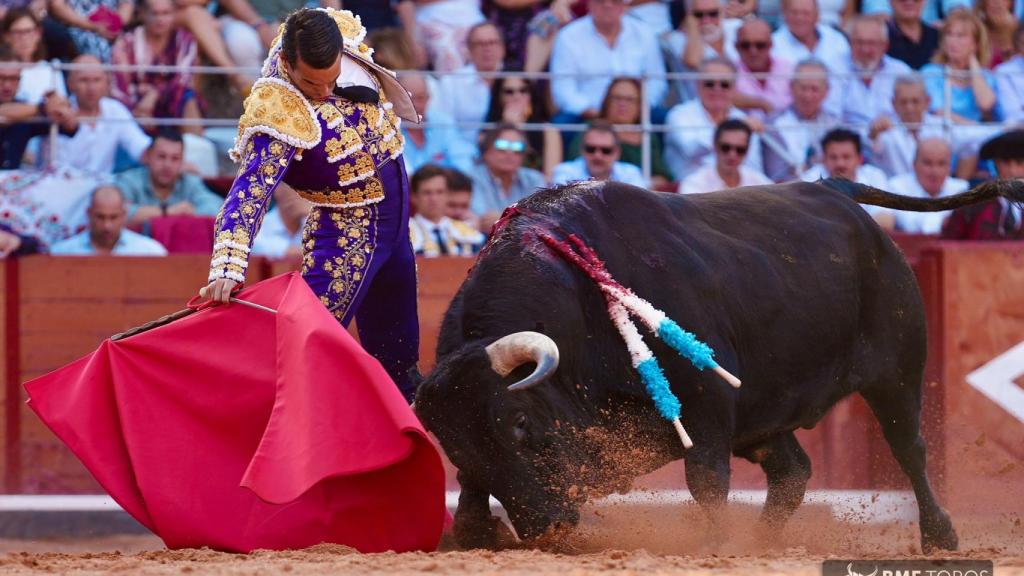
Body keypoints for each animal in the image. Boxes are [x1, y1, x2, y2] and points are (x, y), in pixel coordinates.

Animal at [413, 176, 1024, 553]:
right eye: (454, 445)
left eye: (519, 424)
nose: (545, 527)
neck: (580, 307)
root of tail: (835, 190)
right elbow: (471, 492)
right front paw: (475, 530)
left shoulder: (705, 406)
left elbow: (706, 479)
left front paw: (713, 545)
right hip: (767, 412)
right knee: (793, 472)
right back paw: (763, 543)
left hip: (896, 372)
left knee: (909, 448)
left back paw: (940, 537)